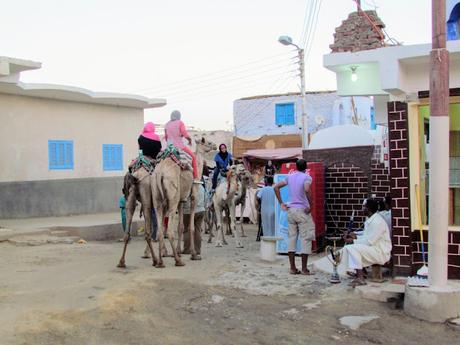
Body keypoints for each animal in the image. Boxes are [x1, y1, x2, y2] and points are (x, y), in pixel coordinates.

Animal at [151, 137, 216, 266]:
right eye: (209, 142)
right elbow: (191, 227)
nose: (216, 146)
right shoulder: (193, 194)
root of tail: (160, 173)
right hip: (172, 197)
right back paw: (178, 261)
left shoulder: (181, 200)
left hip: (158, 198)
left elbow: (181, 226)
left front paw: (179, 251)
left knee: (160, 229)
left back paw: (160, 261)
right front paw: (194, 254)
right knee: (169, 230)